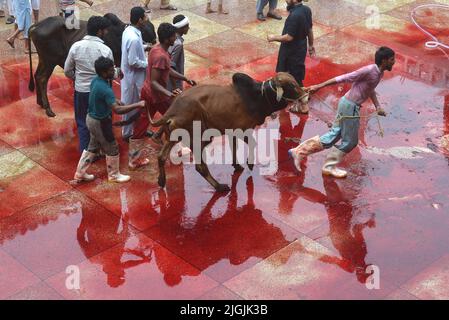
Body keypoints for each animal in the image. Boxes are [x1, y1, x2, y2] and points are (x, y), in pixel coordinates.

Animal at [28, 14, 156, 117]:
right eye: (144, 29)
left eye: (153, 27)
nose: (155, 41)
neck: (118, 34)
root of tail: (37, 25)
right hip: (50, 60)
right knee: (42, 79)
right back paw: (48, 108)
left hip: (43, 59)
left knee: (37, 75)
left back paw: (40, 103)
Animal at [150, 72, 308, 192]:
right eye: (292, 86)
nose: (307, 96)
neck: (258, 96)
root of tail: (172, 111)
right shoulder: (243, 130)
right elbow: (253, 143)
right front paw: (249, 164)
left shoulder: (232, 131)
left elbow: (234, 148)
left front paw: (237, 165)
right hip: (198, 139)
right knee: (200, 167)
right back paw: (220, 187)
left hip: (174, 136)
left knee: (161, 157)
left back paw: (161, 181)